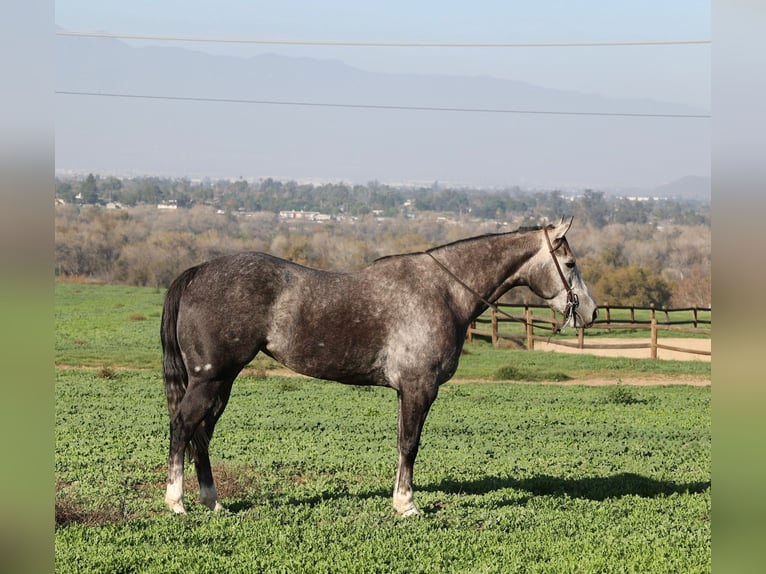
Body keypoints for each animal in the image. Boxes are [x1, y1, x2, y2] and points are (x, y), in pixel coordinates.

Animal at [161, 216, 597, 516]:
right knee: (183, 426)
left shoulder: (409, 390)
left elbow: (404, 442)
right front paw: (406, 504)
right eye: (570, 263)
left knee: (202, 434)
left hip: (222, 381)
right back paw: (177, 502)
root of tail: (197, 272)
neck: (444, 291)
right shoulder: (419, 387)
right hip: (210, 379)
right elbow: (410, 444)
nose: (590, 312)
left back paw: (212, 501)